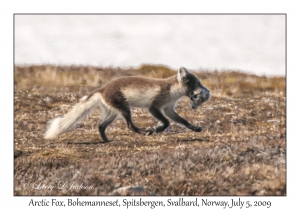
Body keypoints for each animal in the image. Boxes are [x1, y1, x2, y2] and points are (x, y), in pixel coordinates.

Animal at [44, 67, 210, 143]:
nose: (206, 90)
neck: (172, 91)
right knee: (130, 125)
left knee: (101, 126)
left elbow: (182, 121)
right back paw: (145, 132)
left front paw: (195, 128)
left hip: (113, 113)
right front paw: (157, 129)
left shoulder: (168, 108)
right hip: (124, 108)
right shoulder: (154, 106)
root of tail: (102, 89)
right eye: (197, 83)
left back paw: (106, 140)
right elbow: (166, 122)